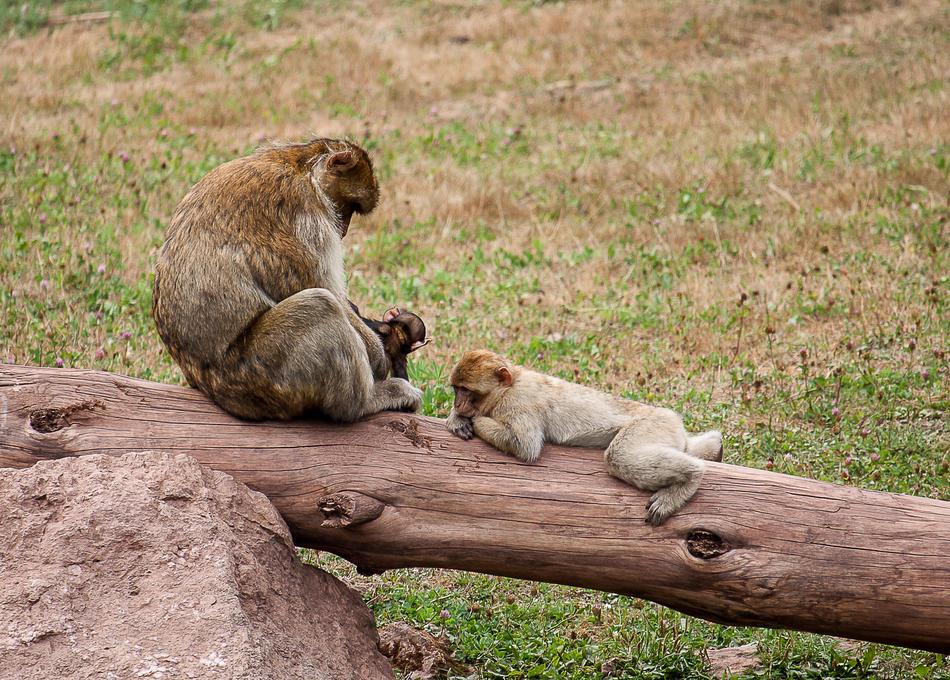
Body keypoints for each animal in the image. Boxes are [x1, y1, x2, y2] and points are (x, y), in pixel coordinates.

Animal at [152, 138, 422, 422]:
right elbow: (323, 288)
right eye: (350, 206)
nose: (344, 230)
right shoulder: (308, 214)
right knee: (320, 304)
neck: (300, 165)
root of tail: (210, 385)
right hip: (262, 373)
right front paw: (380, 355)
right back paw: (367, 401)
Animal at [445, 350, 723, 525]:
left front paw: (474, 419)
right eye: (455, 389)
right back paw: (714, 449)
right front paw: (456, 418)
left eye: (466, 391)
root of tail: (673, 419)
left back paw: (690, 477)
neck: (509, 386)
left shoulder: (519, 403)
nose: (458, 403)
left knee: (618, 456)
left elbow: (526, 446)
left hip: (653, 424)